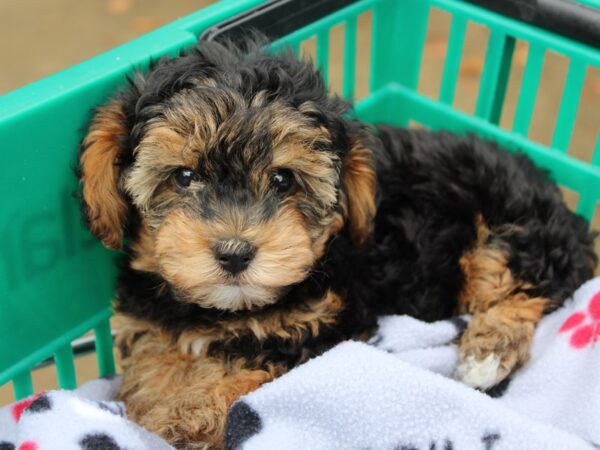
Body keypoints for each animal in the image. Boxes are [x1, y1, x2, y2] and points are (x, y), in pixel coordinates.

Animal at [78, 39, 596, 450]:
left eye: (283, 179)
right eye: (183, 176)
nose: (234, 253)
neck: (222, 311)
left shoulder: (320, 327)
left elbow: (244, 368)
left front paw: (187, 416)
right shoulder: (151, 322)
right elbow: (154, 361)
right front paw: (156, 405)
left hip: (512, 228)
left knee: (522, 288)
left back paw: (486, 354)